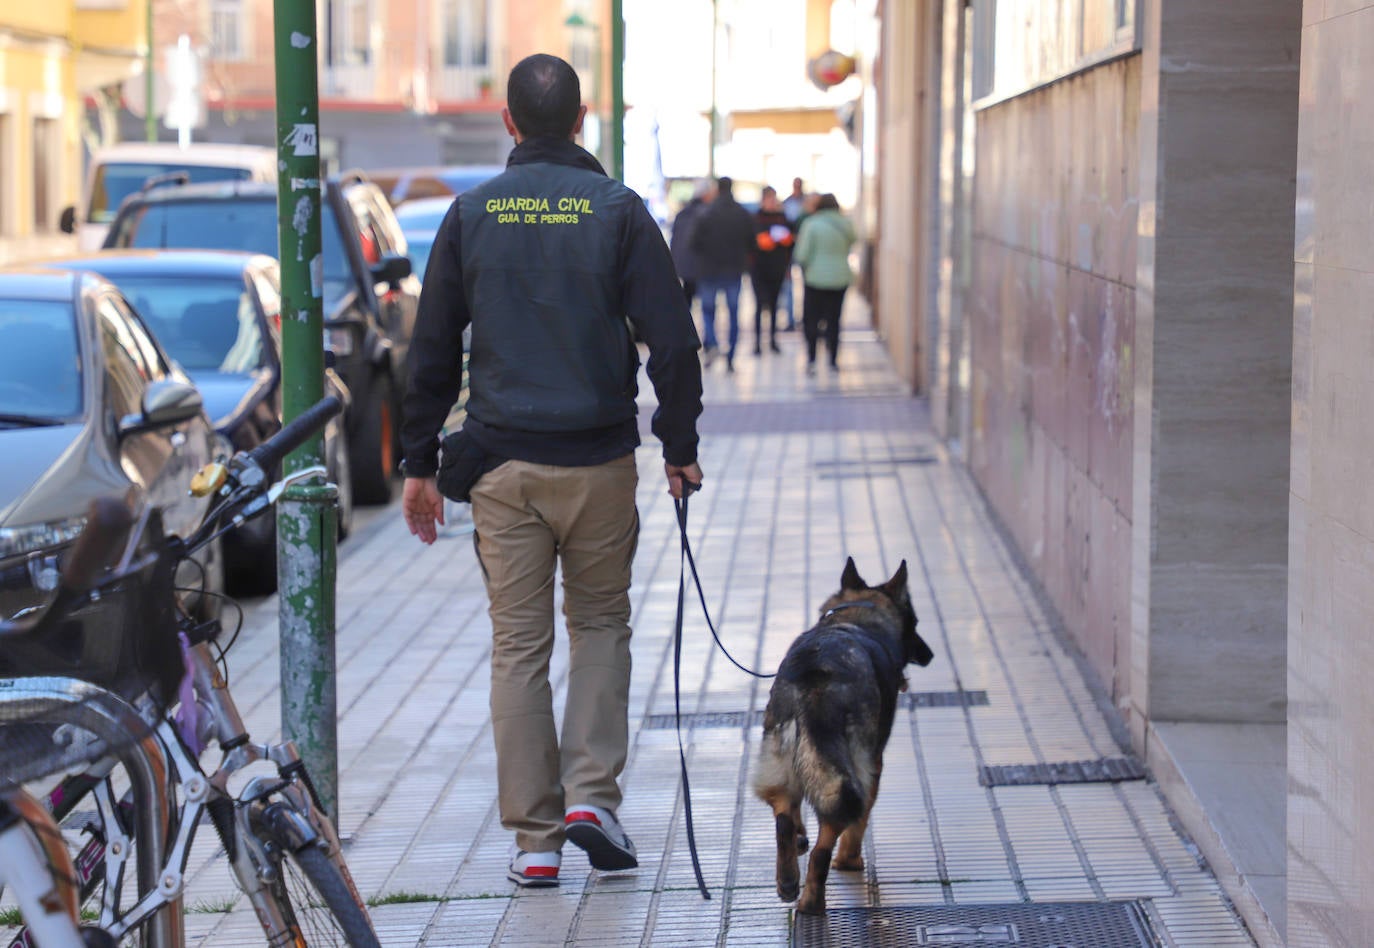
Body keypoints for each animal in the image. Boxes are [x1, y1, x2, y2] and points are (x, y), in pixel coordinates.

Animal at [752, 557, 934, 912]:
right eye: (915, 621)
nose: (930, 655)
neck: (856, 617)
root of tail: (814, 679)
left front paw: (800, 838)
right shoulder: (874, 763)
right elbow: (861, 820)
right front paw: (850, 859)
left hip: (781, 756)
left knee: (783, 814)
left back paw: (788, 877)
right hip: (853, 769)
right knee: (829, 837)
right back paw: (813, 898)